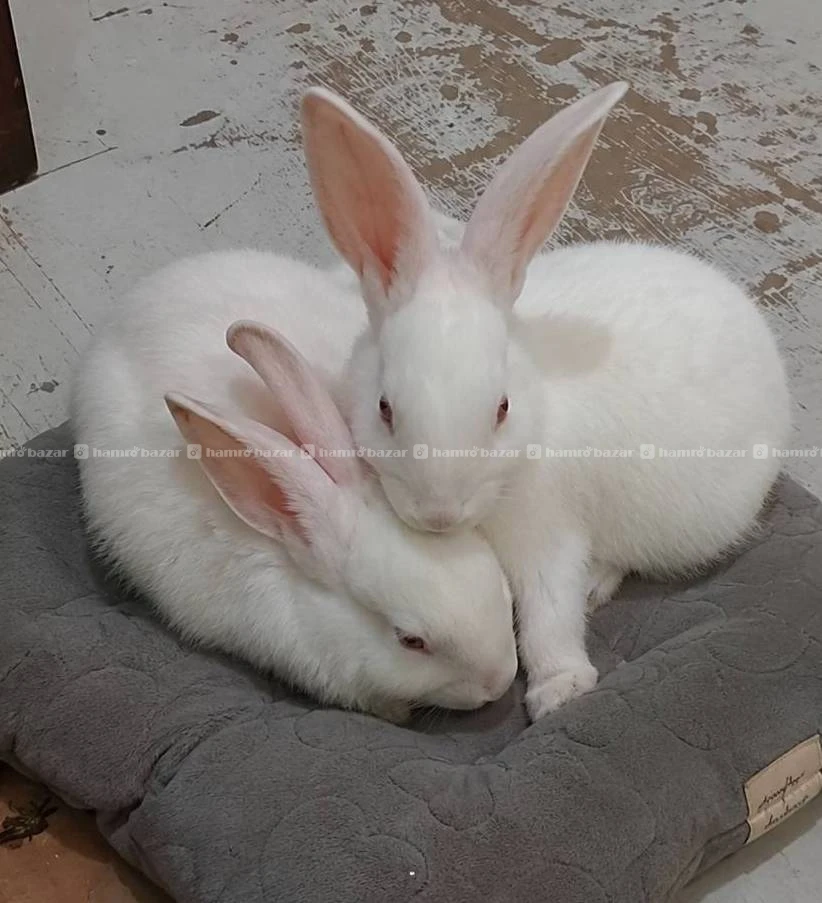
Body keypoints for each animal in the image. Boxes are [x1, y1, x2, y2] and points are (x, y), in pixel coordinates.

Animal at [300, 83, 791, 721]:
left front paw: (560, 691)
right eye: (384, 409)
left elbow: (549, 610)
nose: (439, 515)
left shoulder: (549, 529)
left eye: (502, 409)